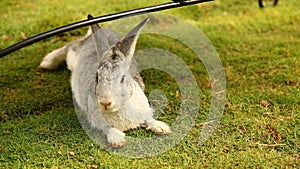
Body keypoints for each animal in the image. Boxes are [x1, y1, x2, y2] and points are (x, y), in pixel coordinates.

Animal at [39, 15, 171, 148]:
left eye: (123, 78)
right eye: (97, 77)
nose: (105, 103)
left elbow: (149, 119)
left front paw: (162, 128)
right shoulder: (98, 122)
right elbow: (109, 129)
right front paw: (118, 140)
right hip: (72, 56)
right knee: (70, 46)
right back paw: (47, 62)